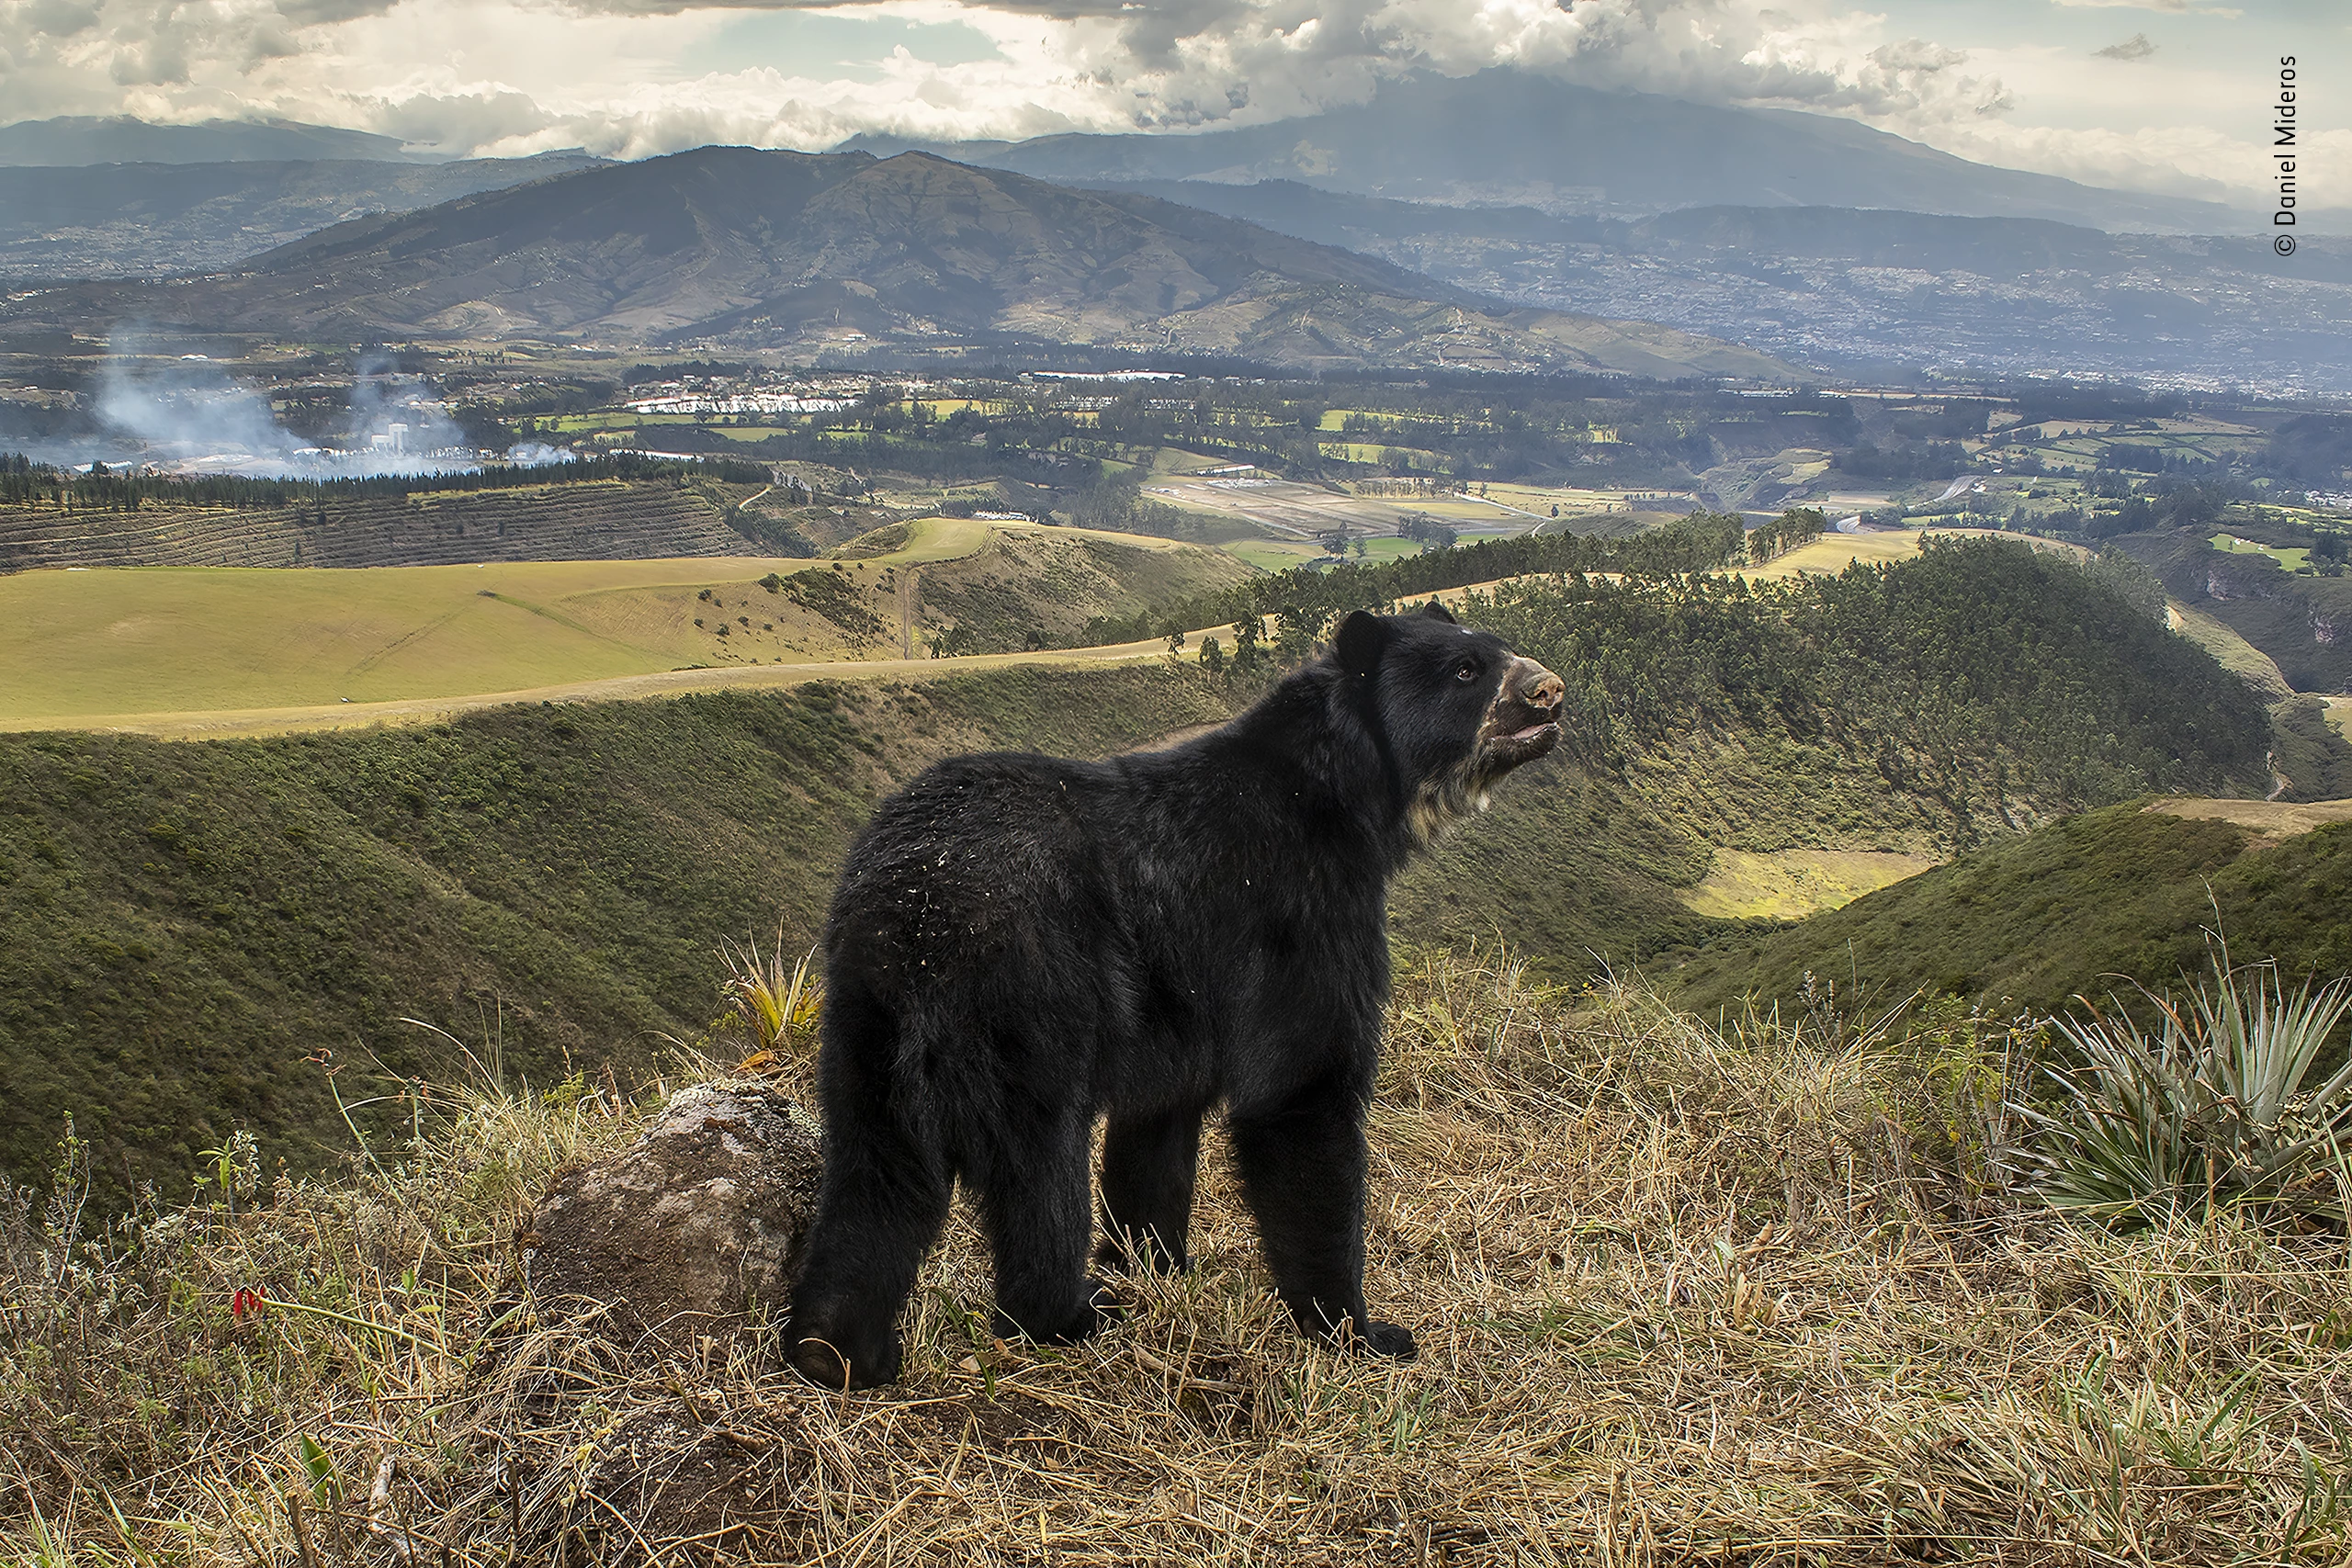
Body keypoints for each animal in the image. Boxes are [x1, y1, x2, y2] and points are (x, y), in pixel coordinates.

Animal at [784, 602, 1566, 1390]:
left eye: (1495, 649)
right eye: (1467, 670)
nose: (1551, 691)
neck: (1344, 795)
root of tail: (917, 907)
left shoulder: (1181, 1006)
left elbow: (1157, 1127)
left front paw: (1157, 1264)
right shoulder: (1296, 914)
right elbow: (1300, 1091)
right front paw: (1361, 1331)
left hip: (866, 1017)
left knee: (880, 1175)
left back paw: (836, 1348)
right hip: (1032, 998)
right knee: (1038, 1172)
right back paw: (1068, 1315)